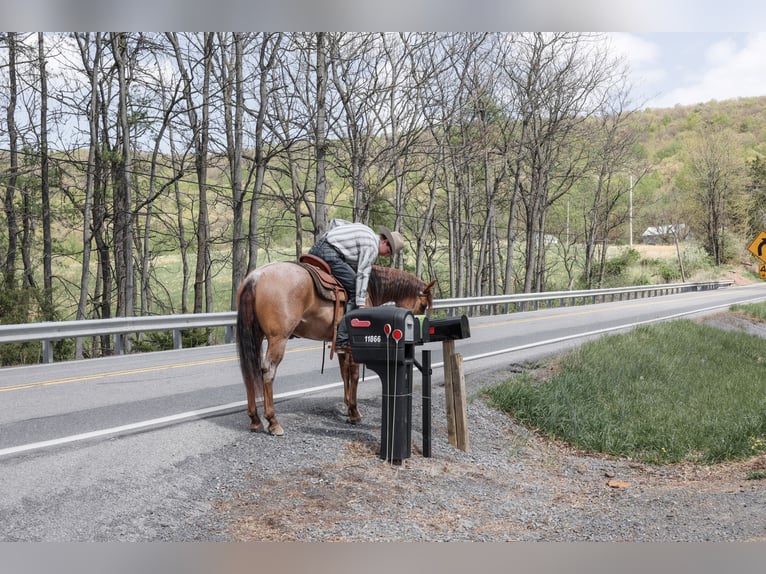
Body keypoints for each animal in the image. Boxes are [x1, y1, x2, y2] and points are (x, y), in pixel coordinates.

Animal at [235, 261, 435, 436]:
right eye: (423, 305)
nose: (419, 335)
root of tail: (255, 277)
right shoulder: (355, 345)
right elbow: (354, 375)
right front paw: (354, 413)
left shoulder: (342, 346)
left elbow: (344, 373)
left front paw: (349, 407)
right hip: (278, 339)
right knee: (267, 371)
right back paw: (273, 422)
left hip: (256, 336)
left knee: (249, 373)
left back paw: (255, 420)